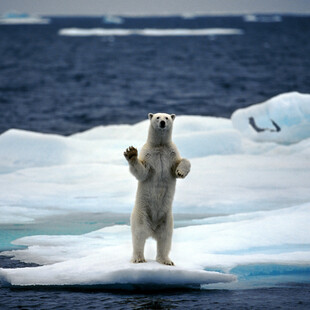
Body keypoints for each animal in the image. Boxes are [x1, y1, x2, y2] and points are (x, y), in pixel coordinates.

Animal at [124, 112, 191, 266]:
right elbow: (142, 172)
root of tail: (152, 229)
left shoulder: (171, 154)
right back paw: (138, 258)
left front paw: (181, 172)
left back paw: (166, 260)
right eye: (157, 117)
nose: (162, 123)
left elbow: (182, 162)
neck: (160, 146)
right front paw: (131, 153)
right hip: (141, 213)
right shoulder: (148, 155)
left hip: (166, 219)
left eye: (166, 117)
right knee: (139, 234)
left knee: (165, 238)